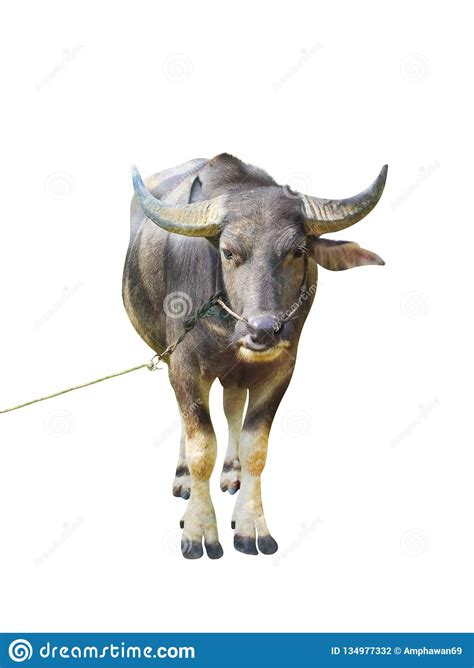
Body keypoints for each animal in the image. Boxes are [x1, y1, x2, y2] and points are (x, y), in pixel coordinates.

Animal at [121, 153, 386, 560]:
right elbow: (201, 446)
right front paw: (198, 530)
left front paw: (250, 526)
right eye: (229, 252)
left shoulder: (281, 370)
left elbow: (255, 447)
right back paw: (184, 481)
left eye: (298, 251)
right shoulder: (183, 366)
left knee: (232, 407)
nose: (263, 330)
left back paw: (232, 472)